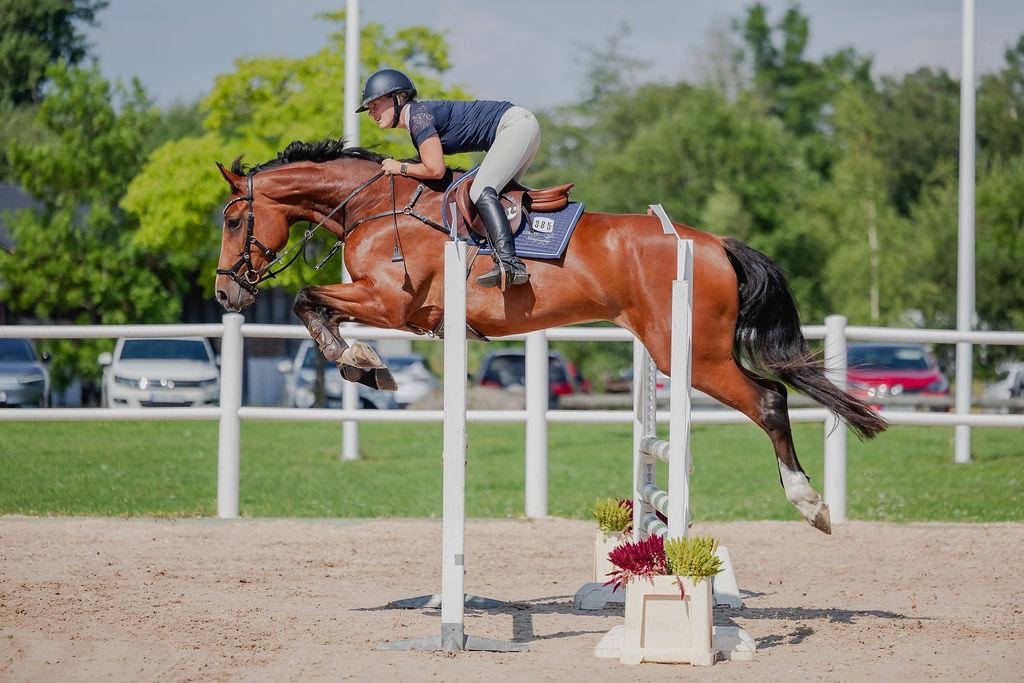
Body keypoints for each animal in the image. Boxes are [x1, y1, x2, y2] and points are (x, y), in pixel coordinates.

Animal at [213, 139, 887, 534]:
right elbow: (313, 306)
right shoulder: (388, 305)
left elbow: (307, 299)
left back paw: (811, 504)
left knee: (770, 400)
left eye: (233, 219)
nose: (225, 295)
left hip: (694, 356)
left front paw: (361, 361)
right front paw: (362, 362)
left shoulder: (391, 301)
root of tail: (714, 244)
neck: (378, 202)